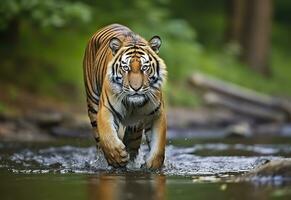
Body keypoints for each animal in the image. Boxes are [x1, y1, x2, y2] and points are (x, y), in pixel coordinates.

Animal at [83, 24, 168, 170]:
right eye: (126, 68)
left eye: (144, 68)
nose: (136, 88)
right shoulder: (106, 109)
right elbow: (108, 135)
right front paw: (117, 156)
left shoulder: (157, 114)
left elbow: (158, 146)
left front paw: (152, 165)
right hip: (93, 104)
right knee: (99, 141)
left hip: (136, 126)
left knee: (133, 142)